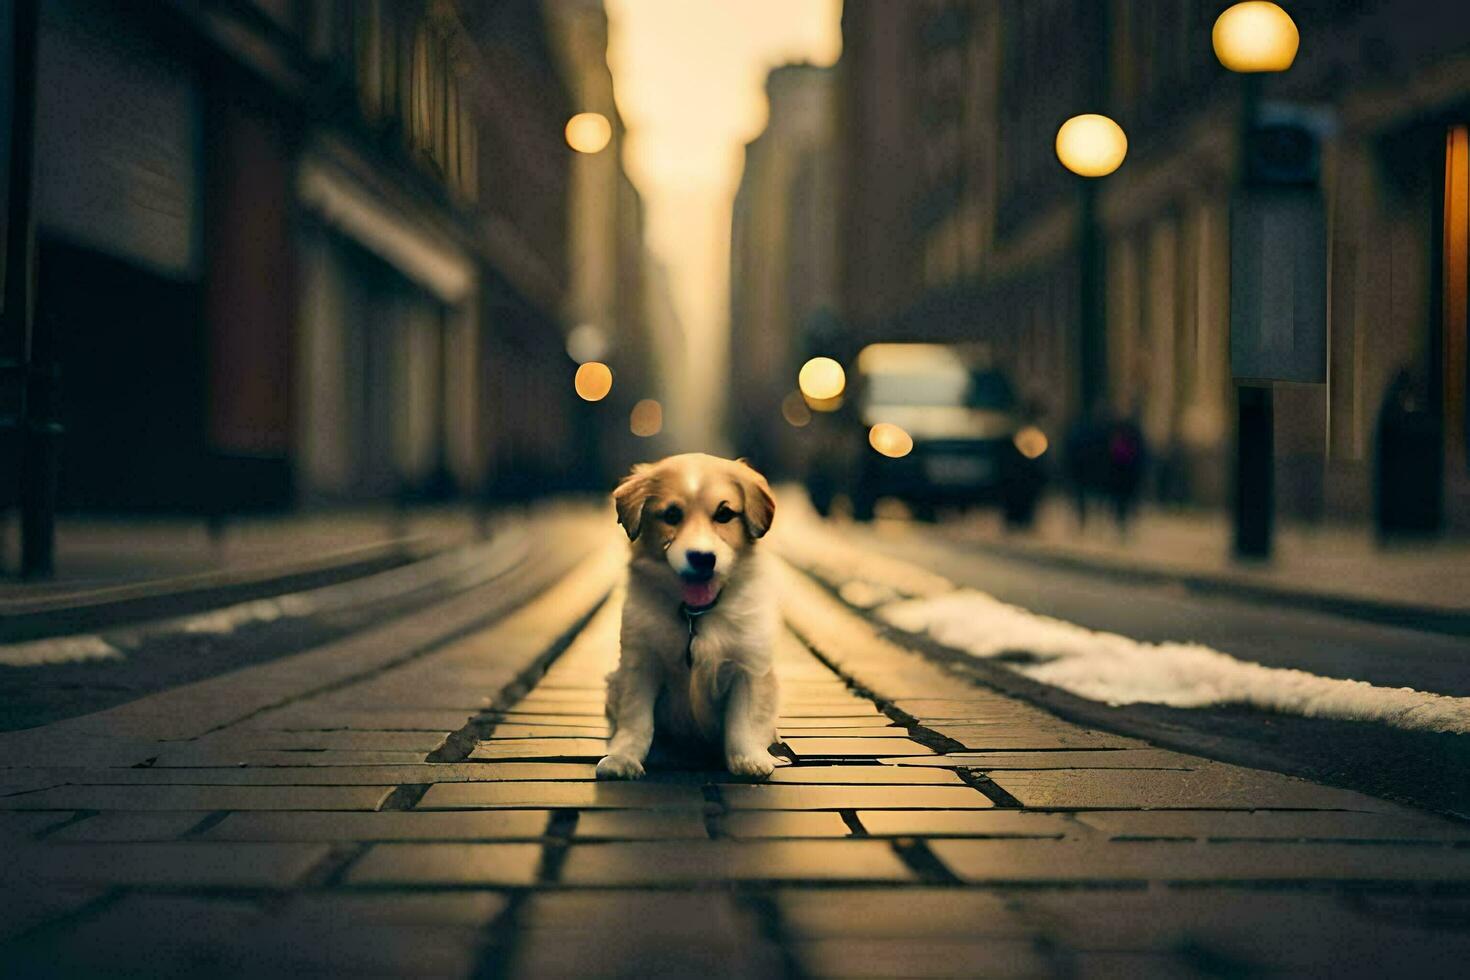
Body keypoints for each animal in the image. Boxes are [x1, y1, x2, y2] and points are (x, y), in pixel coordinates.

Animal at [593, 452, 782, 781]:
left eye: (724, 514)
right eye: (671, 515)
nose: (702, 558)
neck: (696, 614)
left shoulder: (748, 665)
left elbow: (742, 720)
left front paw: (747, 759)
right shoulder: (640, 663)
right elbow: (636, 719)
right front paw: (623, 757)